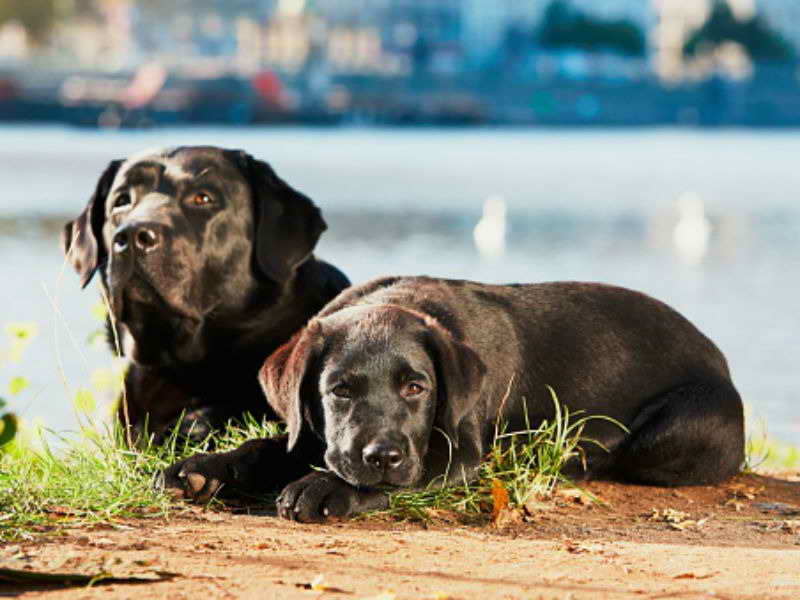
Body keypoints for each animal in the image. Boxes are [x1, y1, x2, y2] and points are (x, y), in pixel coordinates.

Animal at [166, 276, 748, 516]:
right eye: (340, 390)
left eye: (416, 387)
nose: (382, 455)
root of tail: (721, 359)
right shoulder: (313, 431)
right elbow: (266, 446)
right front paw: (201, 467)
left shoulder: (460, 453)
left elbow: (401, 478)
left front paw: (325, 489)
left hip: (677, 427)